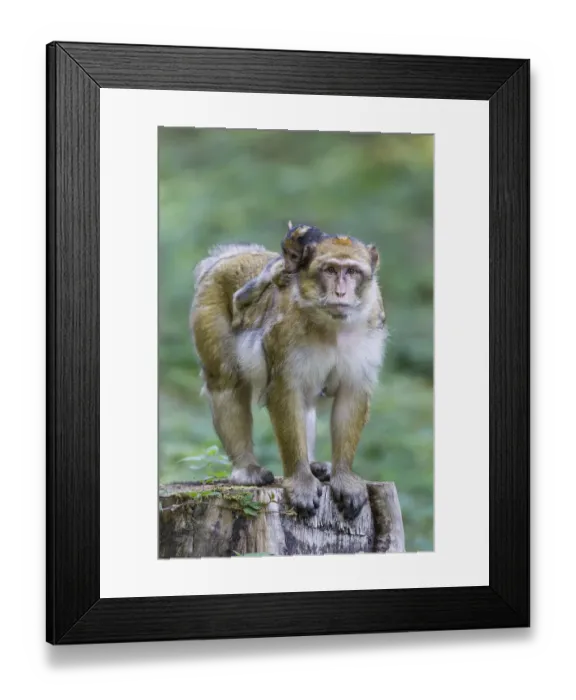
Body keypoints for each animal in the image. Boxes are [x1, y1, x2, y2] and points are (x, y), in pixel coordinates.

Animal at [190, 226, 388, 520]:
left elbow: (350, 396)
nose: (341, 293)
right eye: (330, 270)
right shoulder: (284, 338)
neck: (331, 326)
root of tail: (232, 255)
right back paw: (247, 468)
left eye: (352, 271)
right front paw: (301, 482)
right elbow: (285, 392)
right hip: (209, 304)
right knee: (226, 383)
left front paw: (344, 478)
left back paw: (315, 466)